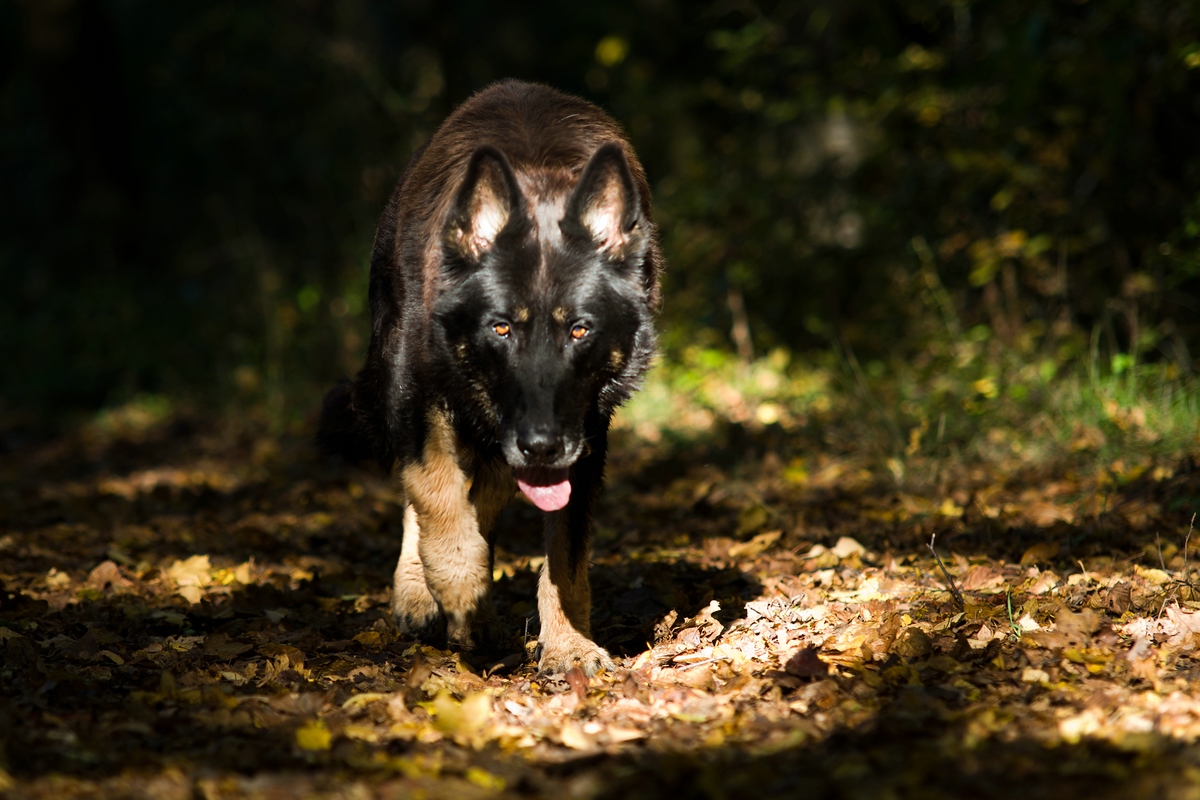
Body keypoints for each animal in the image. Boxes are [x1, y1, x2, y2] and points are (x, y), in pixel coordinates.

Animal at [314, 81, 662, 671]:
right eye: (501, 327)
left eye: (580, 330)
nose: (542, 446)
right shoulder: (420, 388)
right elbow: (434, 488)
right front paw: (455, 585)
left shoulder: (587, 429)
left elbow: (566, 554)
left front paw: (567, 643)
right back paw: (423, 593)